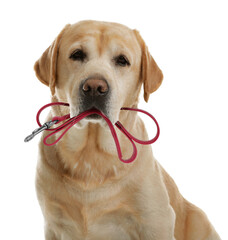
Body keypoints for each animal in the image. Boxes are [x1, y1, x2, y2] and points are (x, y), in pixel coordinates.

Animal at [34, 20, 221, 240]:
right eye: (77, 54)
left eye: (122, 60)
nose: (95, 87)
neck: (91, 156)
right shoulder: (53, 224)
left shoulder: (156, 221)